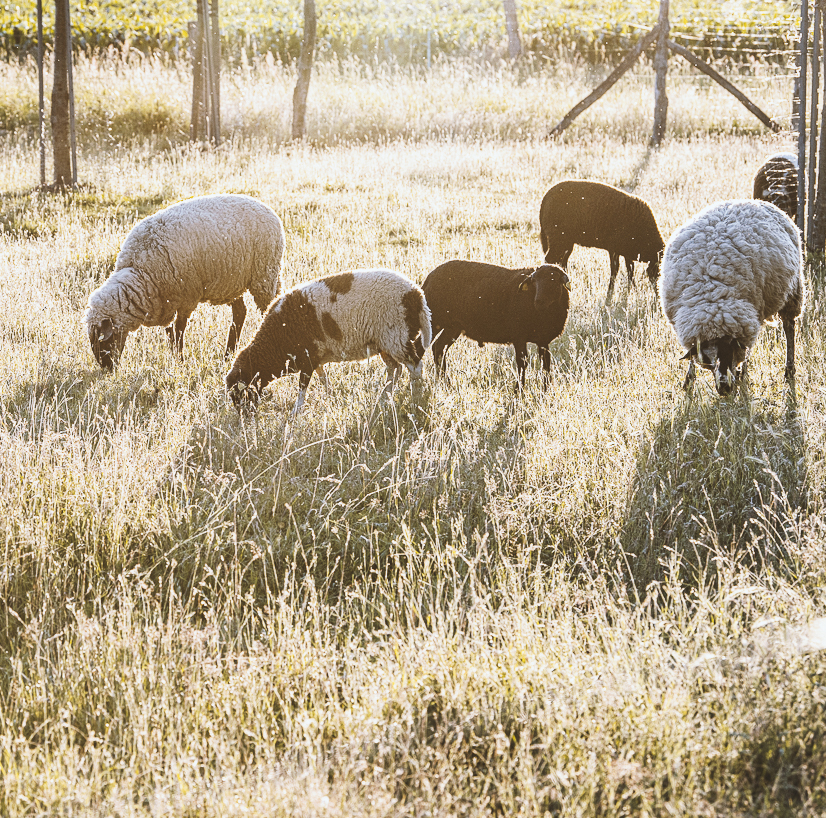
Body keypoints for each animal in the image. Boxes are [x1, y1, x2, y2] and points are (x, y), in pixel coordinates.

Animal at [85, 193, 285, 370]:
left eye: (105, 340)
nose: (108, 369)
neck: (141, 274)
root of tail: (270, 212)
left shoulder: (186, 298)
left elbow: (179, 329)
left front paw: (180, 361)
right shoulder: (166, 303)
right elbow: (170, 333)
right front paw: (175, 357)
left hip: (263, 275)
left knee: (266, 308)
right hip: (233, 282)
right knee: (240, 313)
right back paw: (228, 355)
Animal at [225, 268, 432, 415]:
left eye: (239, 394)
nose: (244, 418)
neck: (274, 343)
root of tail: (418, 296)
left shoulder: (306, 358)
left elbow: (302, 387)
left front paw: (295, 412)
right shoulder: (314, 358)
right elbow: (323, 378)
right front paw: (330, 397)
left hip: (397, 337)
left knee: (415, 366)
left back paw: (416, 398)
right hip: (384, 343)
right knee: (395, 369)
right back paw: (383, 398)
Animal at [421, 260, 570, 388]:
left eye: (553, 281)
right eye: (534, 281)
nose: (538, 302)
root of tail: (429, 277)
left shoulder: (543, 340)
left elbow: (546, 364)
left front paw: (546, 390)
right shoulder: (519, 336)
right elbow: (522, 363)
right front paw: (519, 391)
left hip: (453, 326)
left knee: (438, 347)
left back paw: (445, 382)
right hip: (434, 319)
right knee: (420, 347)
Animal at [660, 199, 804, 396]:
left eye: (730, 351)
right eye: (708, 358)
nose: (725, 388)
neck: (713, 298)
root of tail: (755, 200)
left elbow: (745, 352)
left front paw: (740, 375)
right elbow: (692, 356)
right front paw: (688, 381)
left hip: (793, 291)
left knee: (789, 327)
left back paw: (789, 370)